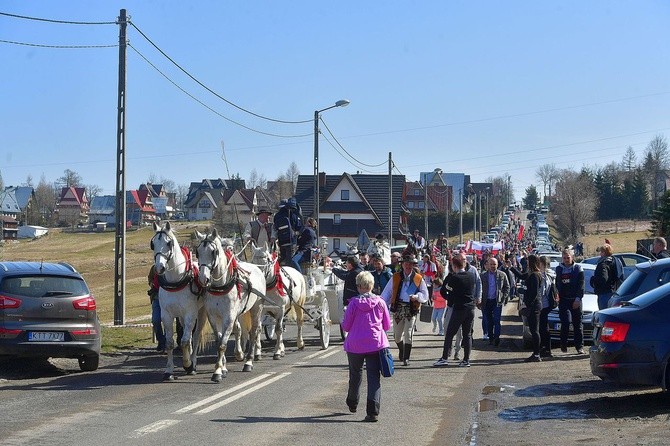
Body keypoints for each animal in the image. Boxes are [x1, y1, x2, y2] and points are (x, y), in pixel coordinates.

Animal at [152, 221, 207, 382]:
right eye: (153, 243)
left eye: (168, 243)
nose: (159, 267)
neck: (176, 280)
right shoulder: (167, 315)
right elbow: (170, 343)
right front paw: (168, 371)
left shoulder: (190, 313)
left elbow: (184, 341)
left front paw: (188, 364)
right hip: (181, 316)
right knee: (188, 336)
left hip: (201, 312)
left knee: (195, 336)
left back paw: (192, 363)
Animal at [193, 230, 266, 384]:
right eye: (197, 251)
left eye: (214, 252)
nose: (203, 279)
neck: (220, 286)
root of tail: (257, 268)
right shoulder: (213, 316)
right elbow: (219, 340)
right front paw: (223, 367)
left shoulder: (229, 317)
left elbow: (223, 344)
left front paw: (217, 372)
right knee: (242, 330)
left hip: (256, 308)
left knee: (254, 331)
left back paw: (249, 361)